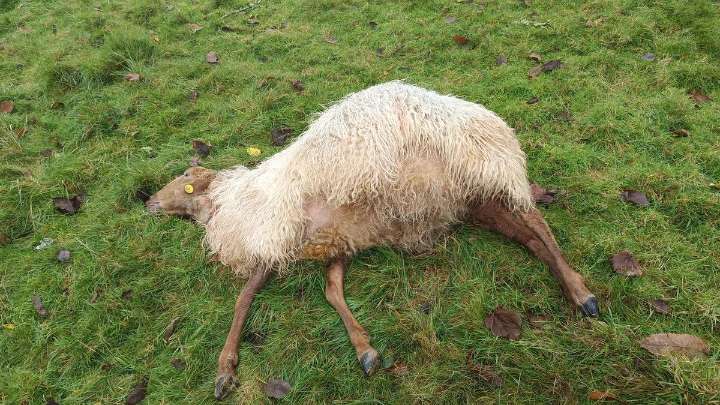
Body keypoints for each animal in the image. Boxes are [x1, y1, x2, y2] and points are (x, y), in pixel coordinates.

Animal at [145, 81, 598, 400]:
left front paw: (224, 370)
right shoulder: (336, 238)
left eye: (183, 178)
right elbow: (332, 290)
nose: (147, 201)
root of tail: (497, 128)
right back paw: (572, 285)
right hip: (473, 199)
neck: (235, 200)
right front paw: (364, 350)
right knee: (531, 237)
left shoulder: (274, 239)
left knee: (538, 223)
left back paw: (583, 294)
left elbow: (243, 299)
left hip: (479, 171)